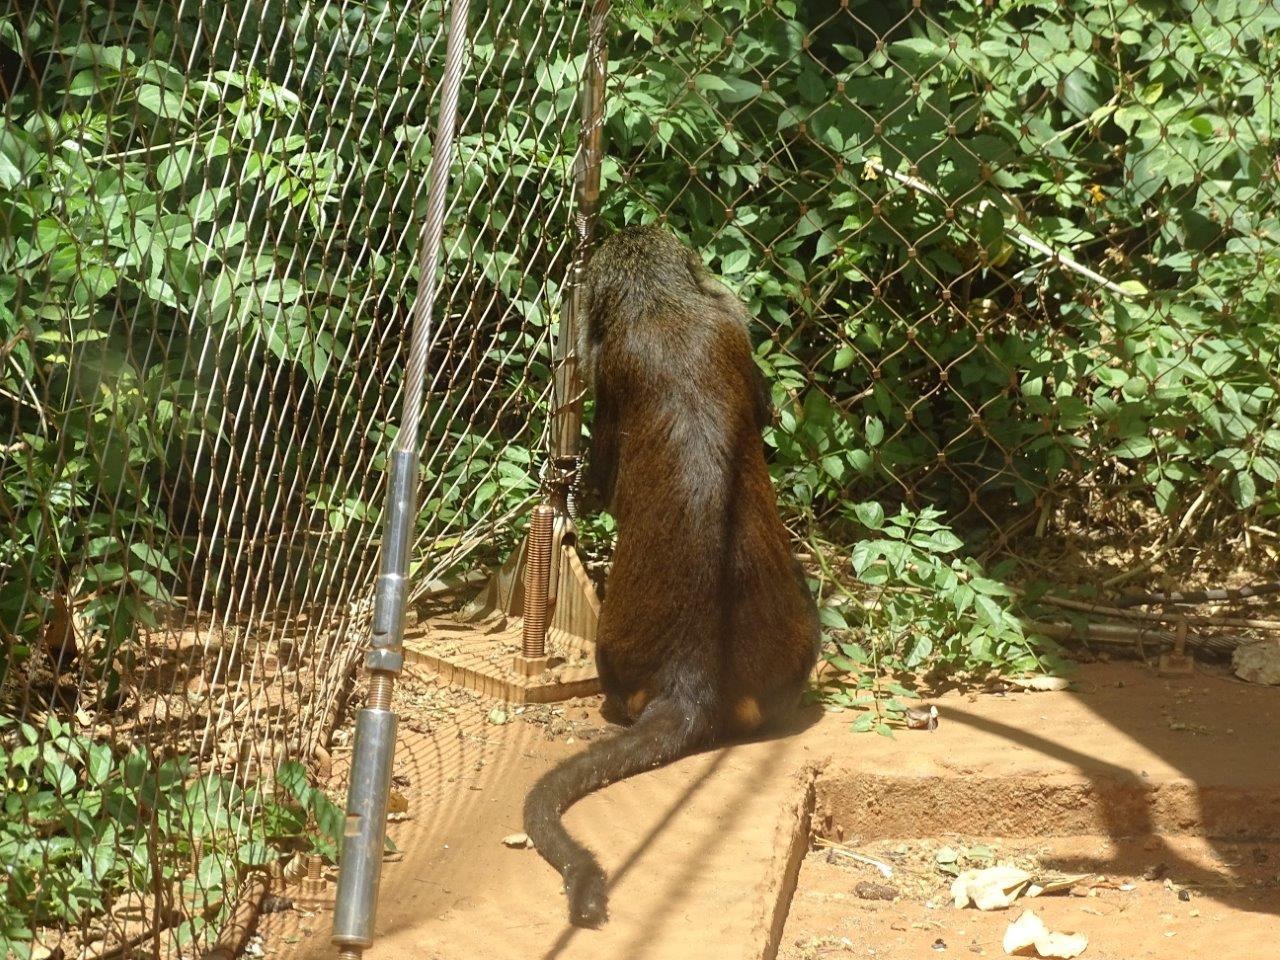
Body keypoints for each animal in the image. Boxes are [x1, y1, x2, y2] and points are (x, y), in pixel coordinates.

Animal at [522, 224, 821, 928]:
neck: (664, 306)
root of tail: (692, 684)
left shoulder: (612, 362)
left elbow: (603, 475)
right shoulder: (730, 320)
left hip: (616, 655)